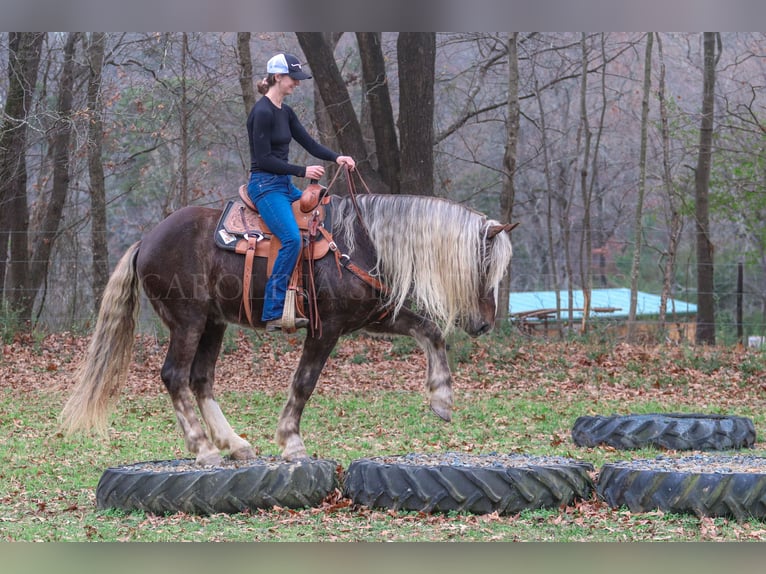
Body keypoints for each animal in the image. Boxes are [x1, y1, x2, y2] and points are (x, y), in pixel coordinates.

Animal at [60, 194, 516, 468]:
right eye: (485, 265)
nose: (484, 324)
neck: (359, 242)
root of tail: (147, 240)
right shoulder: (326, 328)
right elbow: (304, 382)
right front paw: (291, 440)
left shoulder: (375, 317)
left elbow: (430, 332)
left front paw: (441, 399)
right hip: (188, 322)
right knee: (175, 376)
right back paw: (203, 448)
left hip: (213, 324)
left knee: (200, 379)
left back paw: (235, 444)